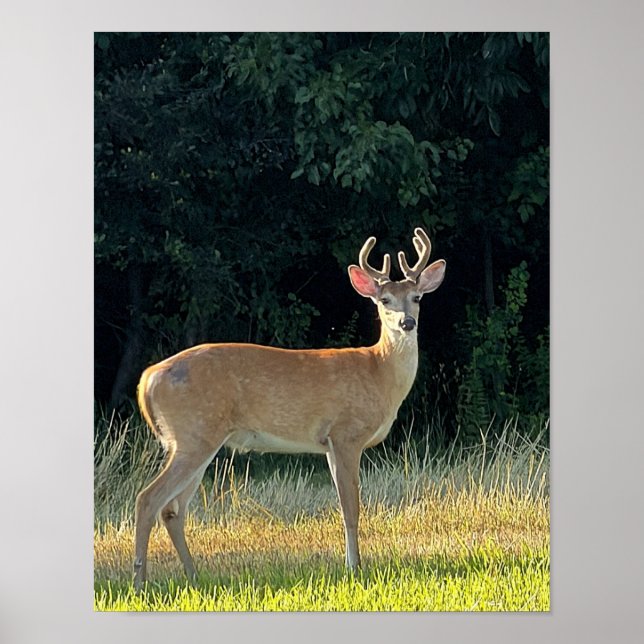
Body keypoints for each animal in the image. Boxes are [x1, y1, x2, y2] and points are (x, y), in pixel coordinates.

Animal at [133, 227, 446, 589]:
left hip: (195, 439)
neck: (379, 372)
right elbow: (351, 507)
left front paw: (350, 563)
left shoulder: (329, 444)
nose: (407, 322)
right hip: (193, 435)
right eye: (384, 301)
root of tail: (147, 379)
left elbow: (343, 506)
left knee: (173, 510)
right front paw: (355, 568)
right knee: (148, 499)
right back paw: (140, 581)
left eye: (417, 297)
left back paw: (195, 577)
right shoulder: (346, 434)